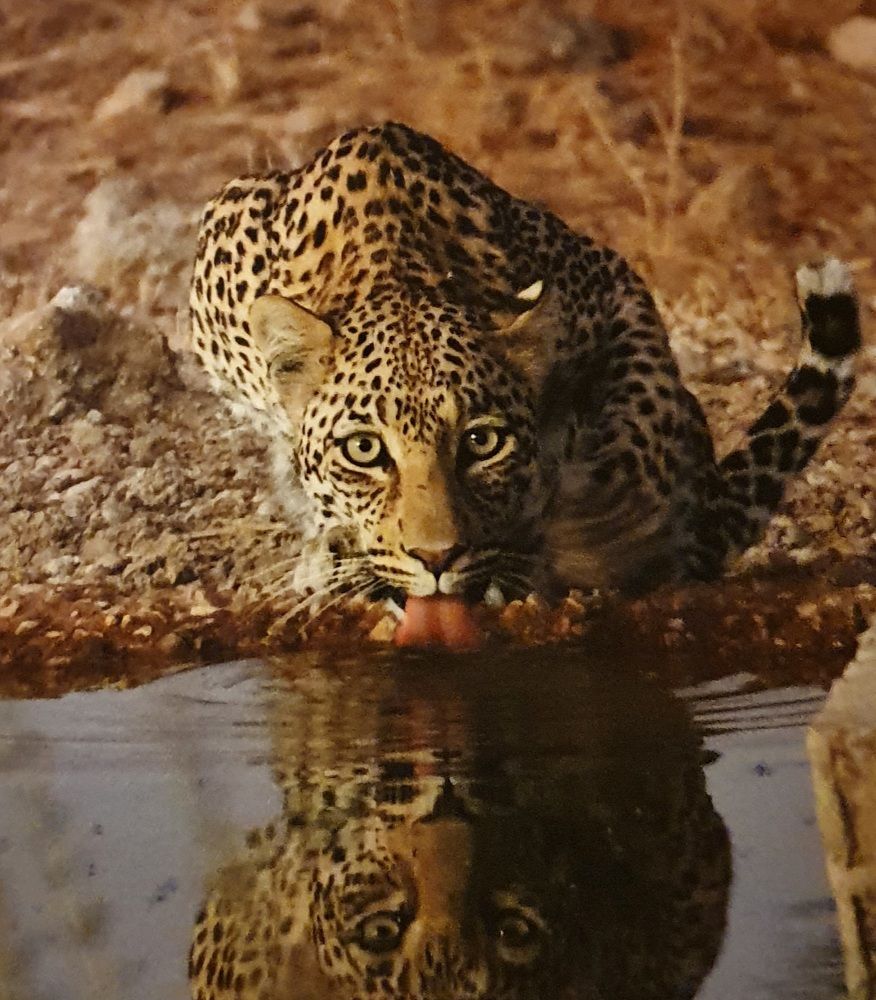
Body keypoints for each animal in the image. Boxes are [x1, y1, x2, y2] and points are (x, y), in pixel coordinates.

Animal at [189, 121, 861, 615]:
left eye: (482, 443)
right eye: (363, 450)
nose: (436, 559)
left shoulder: (612, 285)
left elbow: (636, 430)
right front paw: (333, 550)